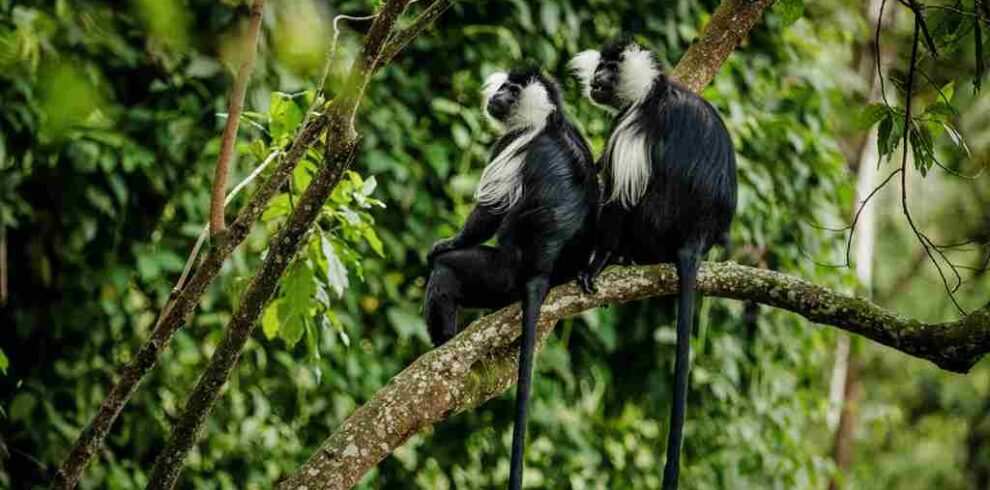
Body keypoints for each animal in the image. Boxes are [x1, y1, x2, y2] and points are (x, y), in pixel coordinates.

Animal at [424, 67, 598, 489]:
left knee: (448, 273)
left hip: (497, 273)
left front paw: (447, 242)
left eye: (512, 91)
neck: (547, 119)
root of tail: (540, 270)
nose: (498, 95)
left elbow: (488, 211)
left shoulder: (511, 145)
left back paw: (442, 342)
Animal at [569, 38, 737, 489]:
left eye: (609, 69)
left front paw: (597, 262)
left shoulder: (632, 126)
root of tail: (695, 239)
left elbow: (618, 197)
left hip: (653, 225)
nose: (596, 79)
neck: (651, 91)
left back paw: (618, 256)